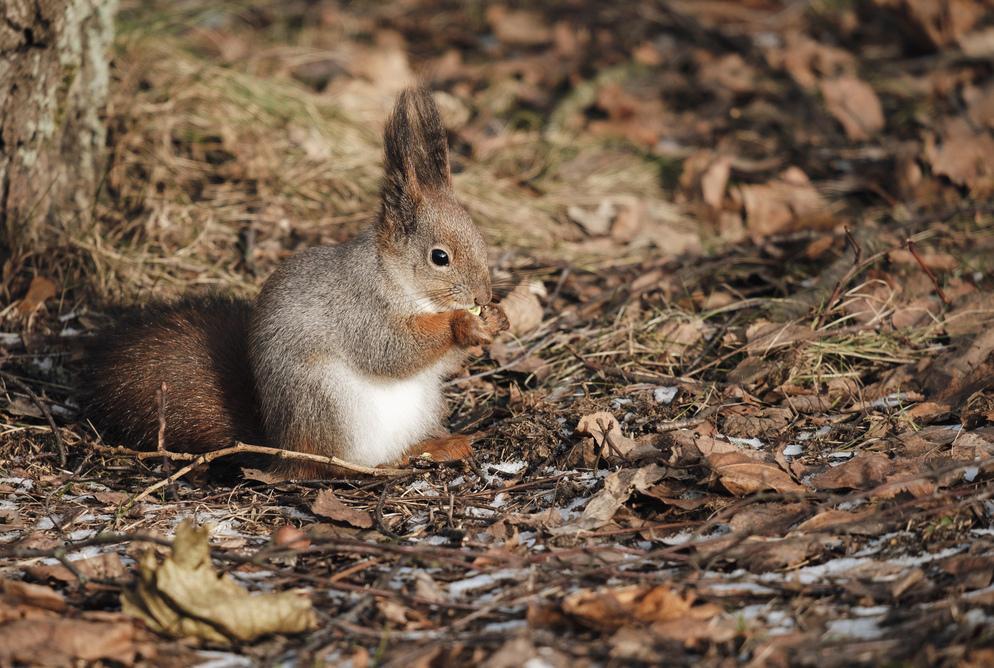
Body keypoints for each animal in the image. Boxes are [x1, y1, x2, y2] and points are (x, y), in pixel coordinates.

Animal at [83, 88, 509, 478]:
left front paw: (496, 319)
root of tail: (281, 448)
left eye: (480, 240)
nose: (483, 295)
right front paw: (462, 322)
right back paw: (379, 465)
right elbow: (391, 349)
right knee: (332, 467)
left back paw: (435, 446)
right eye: (440, 257)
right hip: (327, 402)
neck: (400, 280)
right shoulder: (360, 306)